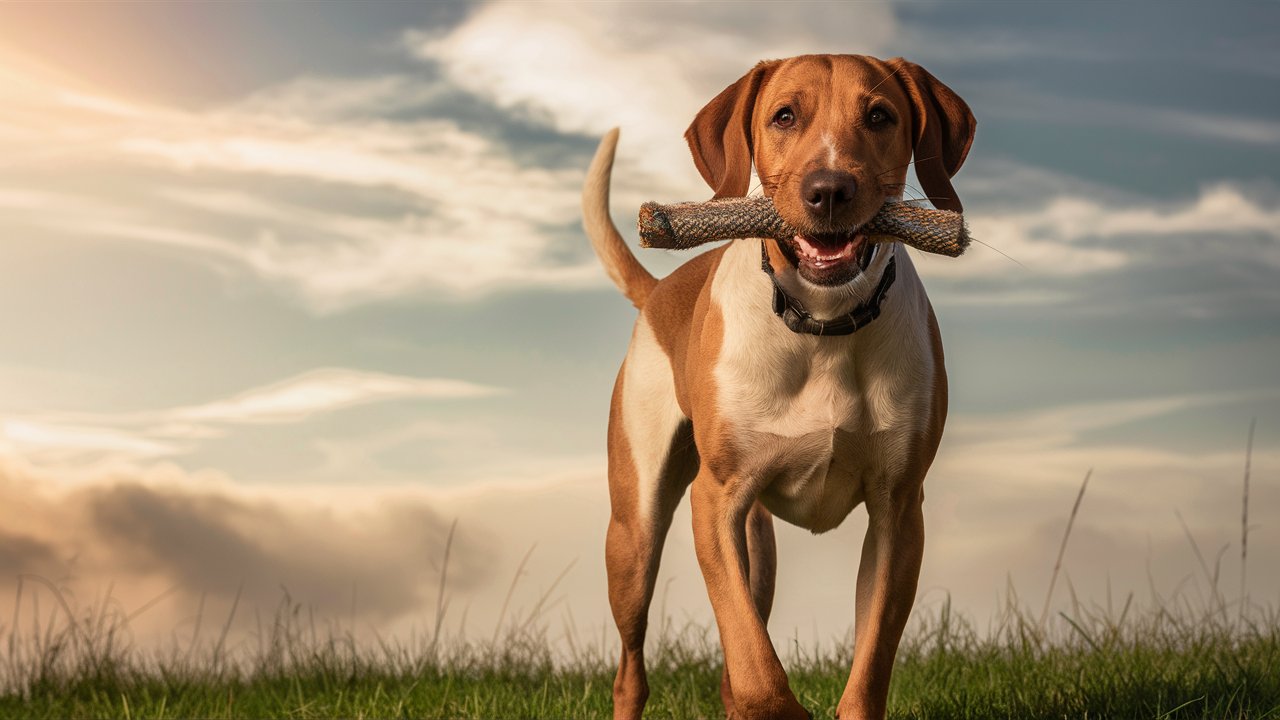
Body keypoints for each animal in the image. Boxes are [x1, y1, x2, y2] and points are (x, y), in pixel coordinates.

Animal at [586, 53, 972, 712]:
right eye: (784, 116)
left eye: (880, 116)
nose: (829, 190)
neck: (823, 322)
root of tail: (661, 290)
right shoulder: (714, 502)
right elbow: (757, 672)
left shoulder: (898, 512)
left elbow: (867, 668)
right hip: (635, 532)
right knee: (633, 668)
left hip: (758, 547)